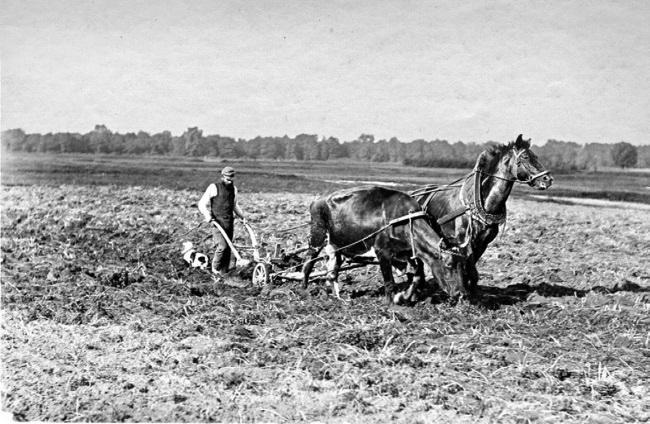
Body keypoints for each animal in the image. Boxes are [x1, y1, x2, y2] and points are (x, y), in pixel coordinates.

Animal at [298, 187, 470, 304]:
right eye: (448, 265)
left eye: (463, 265)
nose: (461, 293)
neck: (404, 219)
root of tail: (318, 200)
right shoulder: (382, 252)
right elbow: (389, 281)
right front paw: (391, 303)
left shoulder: (409, 253)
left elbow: (417, 278)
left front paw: (404, 297)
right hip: (317, 236)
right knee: (308, 262)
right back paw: (304, 290)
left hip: (336, 245)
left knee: (332, 271)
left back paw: (337, 296)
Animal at [410, 133, 552, 294]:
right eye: (526, 157)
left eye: (536, 156)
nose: (548, 179)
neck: (480, 202)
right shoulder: (464, 242)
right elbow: (467, 270)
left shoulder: (483, 243)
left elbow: (472, 273)